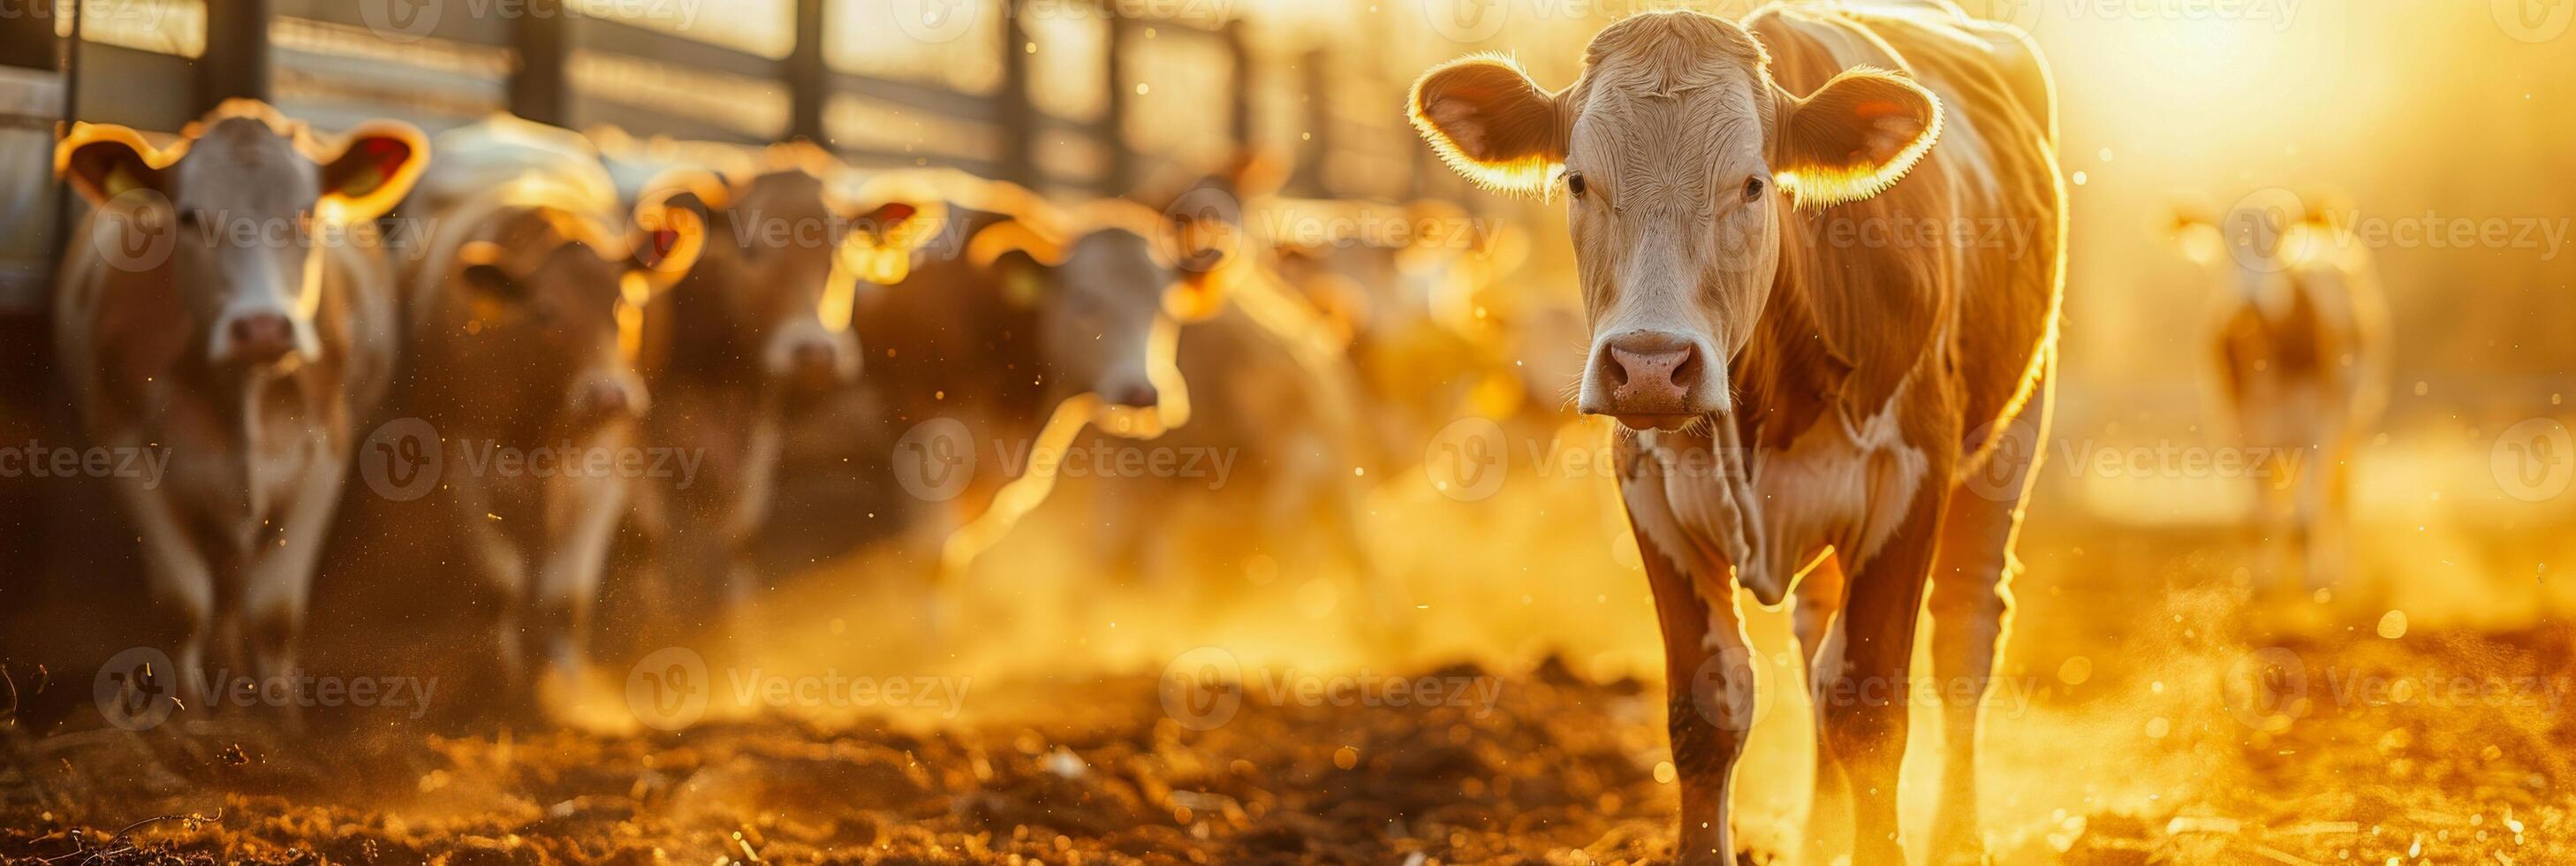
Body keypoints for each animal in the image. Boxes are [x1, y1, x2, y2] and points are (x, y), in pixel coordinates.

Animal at [52, 102, 425, 721]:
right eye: (189, 217)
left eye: (306, 214)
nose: (264, 327)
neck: (241, 391)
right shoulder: (124, 445)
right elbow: (184, 603)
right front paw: (187, 723)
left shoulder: (328, 451)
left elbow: (275, 611)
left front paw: (284, 726)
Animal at [391, 121, 701, 716]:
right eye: (544, 313)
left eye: (625, 305)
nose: (608, 395)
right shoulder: (459, 451)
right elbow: (500, 581)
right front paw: (504, 681)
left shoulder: (603, 459)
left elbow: (566, 594)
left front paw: (571, 695)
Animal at [1401, 3, 2060, 861]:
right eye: (1577, 180)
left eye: (1752, 184)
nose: (1650, 365)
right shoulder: (1650, 493)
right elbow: (1708, 710)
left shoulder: (1910, 480)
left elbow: (1872, 708)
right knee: (1819, 641)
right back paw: (1818, 834)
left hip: (2010, 438)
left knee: (1966, 631)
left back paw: (1958, 835)